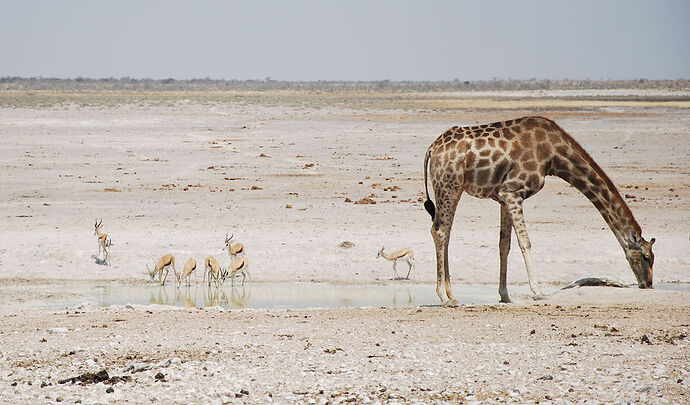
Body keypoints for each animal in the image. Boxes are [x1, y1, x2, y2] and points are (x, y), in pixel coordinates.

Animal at [422, 115, 652, 304]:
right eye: (647, 257)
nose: (648, 284)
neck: (554, 155)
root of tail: (432, 148)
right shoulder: (512, 191)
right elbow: (525, 242)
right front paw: (538, 291)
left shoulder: (503, 197)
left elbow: (504, 245)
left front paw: (505, 295)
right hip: (448, 185)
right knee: (439, 231)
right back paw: (444, 297)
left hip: (454, 187)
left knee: (445, 232)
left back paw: (452, 294)